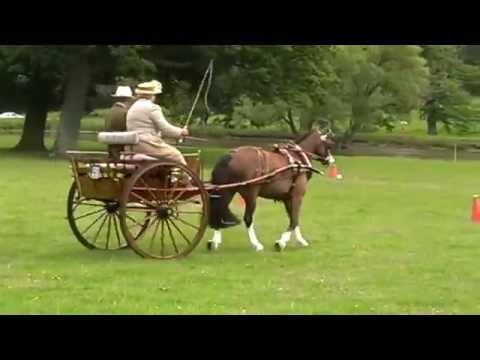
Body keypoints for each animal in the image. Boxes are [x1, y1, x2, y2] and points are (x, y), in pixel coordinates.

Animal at [208, 131, 336, 252]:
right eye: (328, 145)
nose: (331, 161)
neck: (298, 160)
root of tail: (231, 156)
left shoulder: (287, 198)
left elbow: (293, 218)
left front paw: (301, 241)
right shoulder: (297, 196)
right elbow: (294, 220)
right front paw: (281, 242)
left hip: (227, 191)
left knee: (219, 211)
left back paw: (214, 241)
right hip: (250, 195)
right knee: (247, 218)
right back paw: (257, 244)